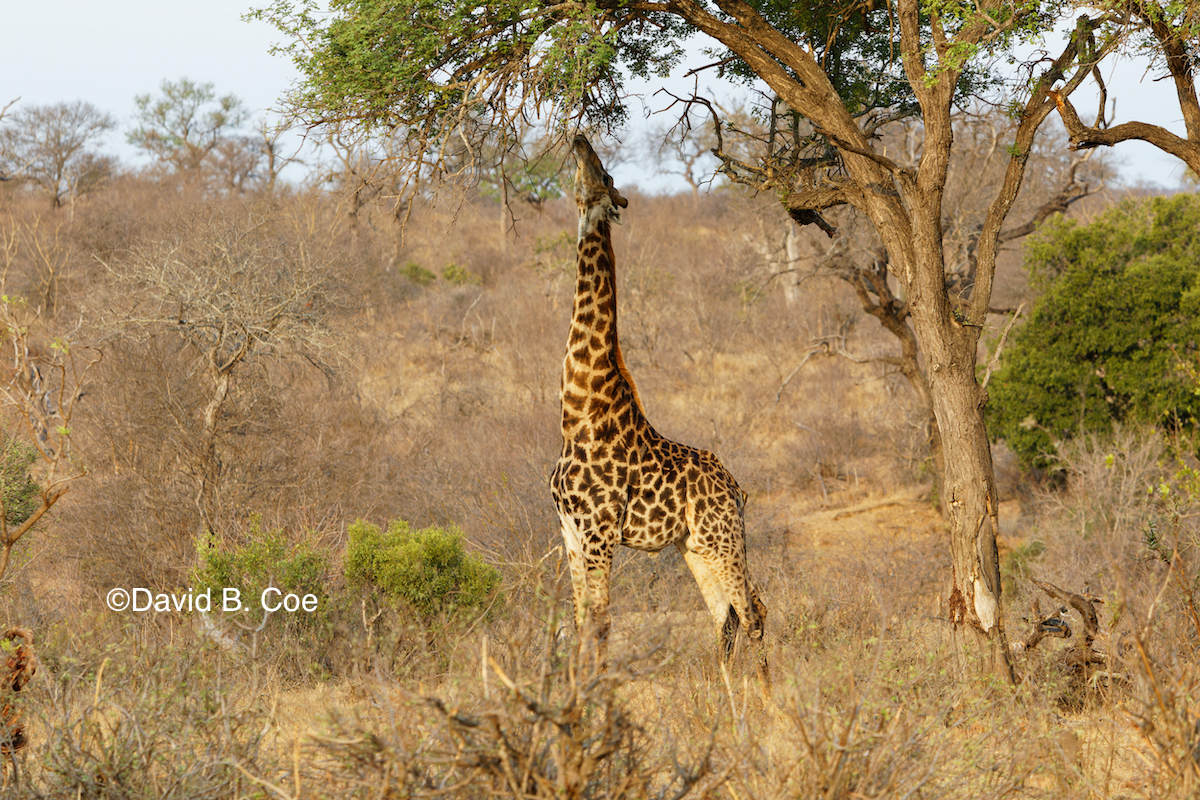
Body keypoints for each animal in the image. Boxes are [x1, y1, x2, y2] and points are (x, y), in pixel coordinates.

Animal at [549, 134, 768, 686]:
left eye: (605, 175)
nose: (579, 138)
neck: (577, 410)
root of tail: (737, 488)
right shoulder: (569, 532)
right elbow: (579, 624)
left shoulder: (600, 532)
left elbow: (601, 624)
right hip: (695, 545)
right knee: (725, 616)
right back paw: (726, 695)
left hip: (724, 538)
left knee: (754, 611)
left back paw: (770, 700)